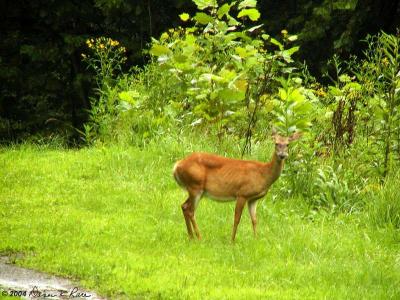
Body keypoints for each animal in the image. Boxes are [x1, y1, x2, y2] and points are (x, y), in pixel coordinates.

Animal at [173, 131, 302, 241]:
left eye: (287, 144)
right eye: (276, 143)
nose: (282, 155)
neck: (263, 174)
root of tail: (177, 165)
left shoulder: (253, 199)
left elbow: (254, 220)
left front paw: (256, 239)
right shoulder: (242, 193)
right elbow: (237, 219)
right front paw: (232, 241)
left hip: (195, 189)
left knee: (184, 206)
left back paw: (191, 237)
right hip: (195, 186)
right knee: (190, 210)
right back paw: (199, 237)